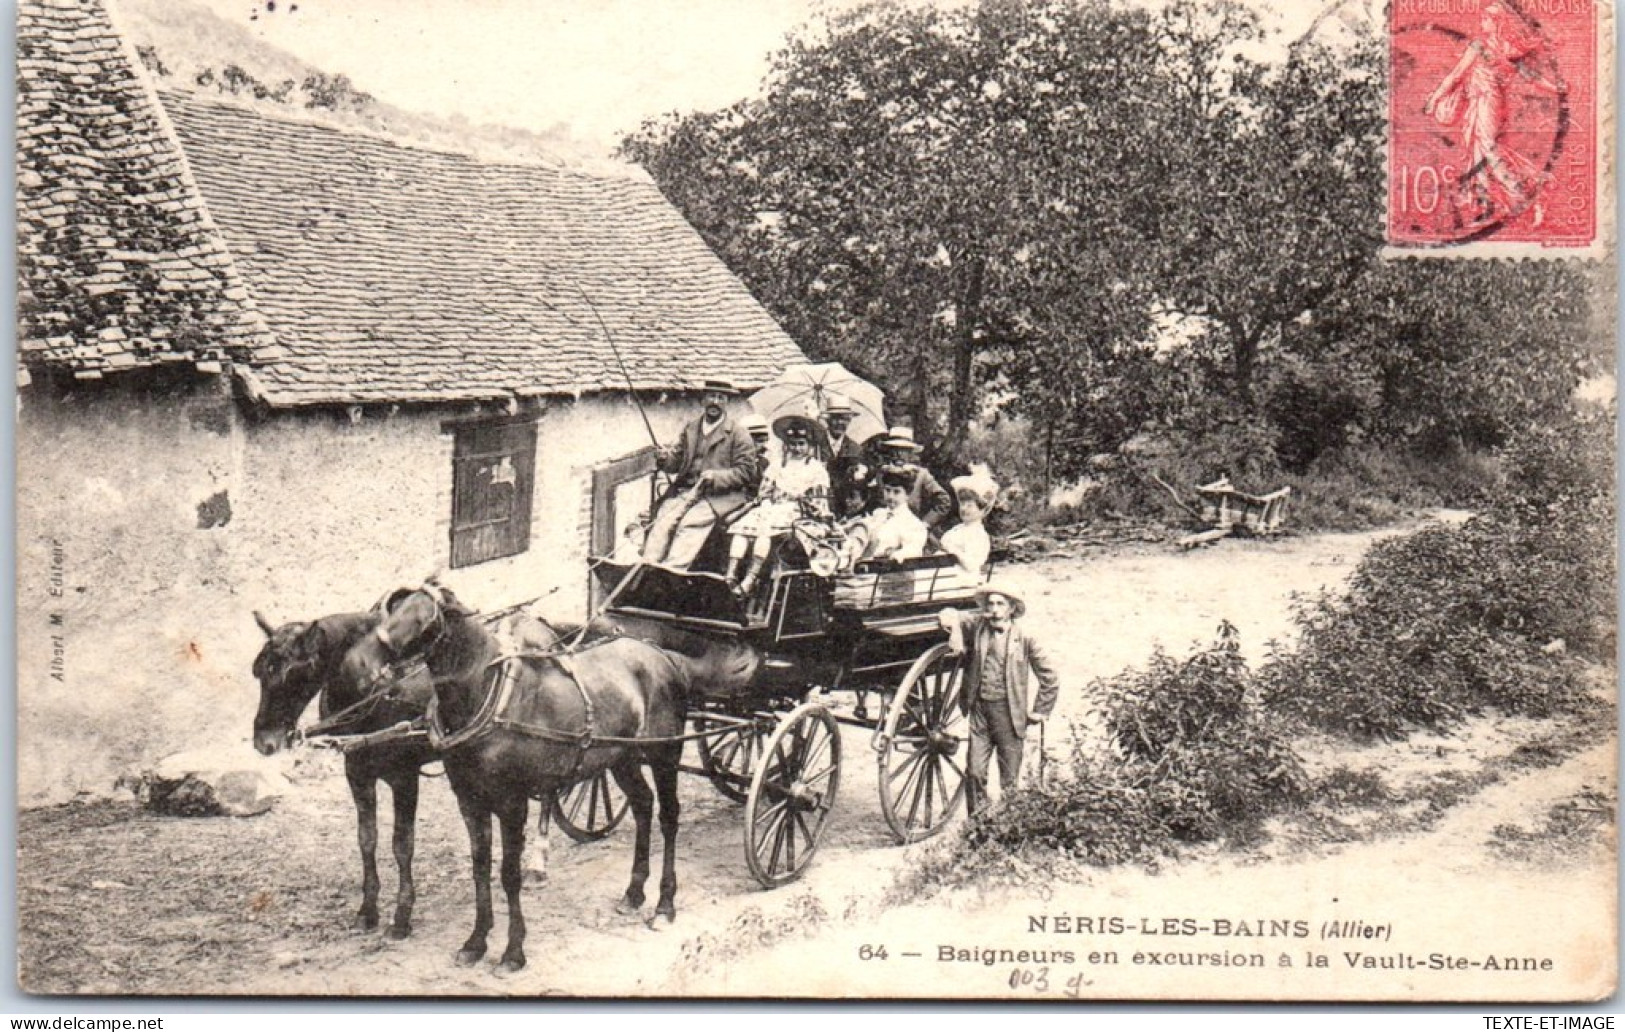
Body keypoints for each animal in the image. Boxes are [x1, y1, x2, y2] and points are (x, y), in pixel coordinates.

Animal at [247, 601, 565, 942]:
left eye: (295, 672)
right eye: (259, 671)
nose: (264, 741)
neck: (376, 688)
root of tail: (540, 624)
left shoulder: (404, 778)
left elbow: (402, 845)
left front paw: (401, 916)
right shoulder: (357, 773)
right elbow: (367, 839)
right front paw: (368, 910)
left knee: (549, 793)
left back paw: (538, 860)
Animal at [342, 585, 692, 975]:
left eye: (424, 618)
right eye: (395, 609)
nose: (366, 658)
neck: (488, 697)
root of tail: (660, 655)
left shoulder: (512, 804)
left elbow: (509, 875)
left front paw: (512, 951)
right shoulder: (470, 801)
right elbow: (480, 868)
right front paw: (476, 941)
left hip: (665, 756)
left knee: (668, 817)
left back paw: (664, 905)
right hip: (622, 759)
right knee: (643, 805)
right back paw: (633, 893)